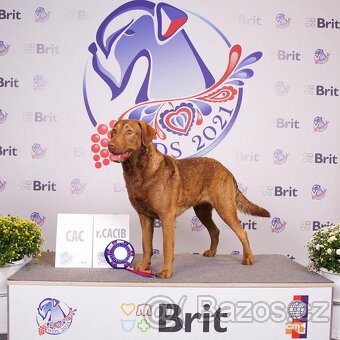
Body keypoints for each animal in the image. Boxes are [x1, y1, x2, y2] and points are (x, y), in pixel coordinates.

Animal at [109, 118, 270, 278]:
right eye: (114, 131)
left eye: (129, 131)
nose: (109, 144)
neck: (138, 170)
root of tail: (227, 170)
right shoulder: (144, 217)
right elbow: (146, 244)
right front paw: (144, 266)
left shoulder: (167, 216)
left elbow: (167, 246)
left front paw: (166, 271)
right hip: (202, 211)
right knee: (215, 231)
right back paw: (212, 252)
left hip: (225, 208)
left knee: (242, 232)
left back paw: (248, 258)